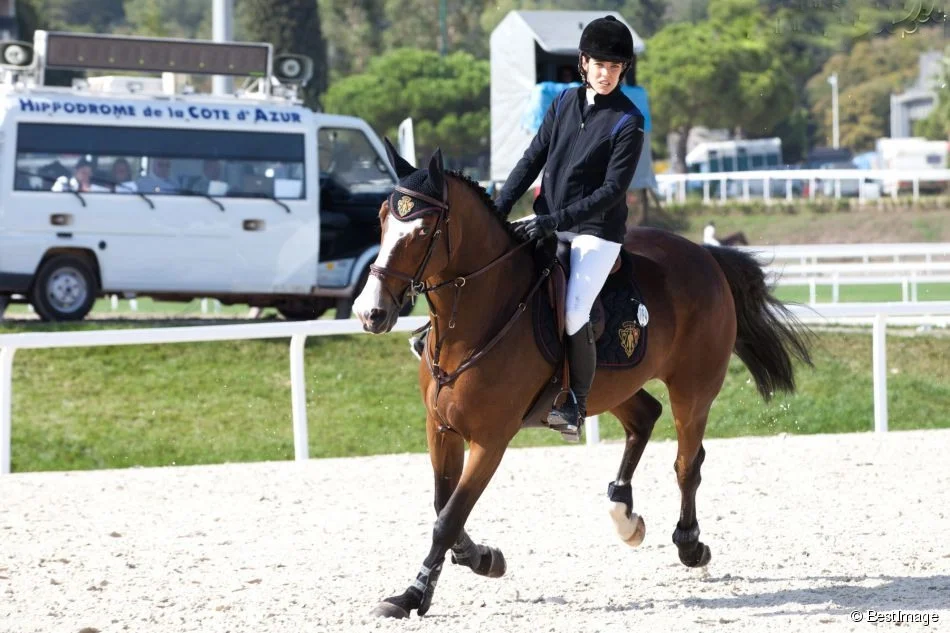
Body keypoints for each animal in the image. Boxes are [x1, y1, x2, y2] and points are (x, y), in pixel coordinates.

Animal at [354, 143, 816, 616]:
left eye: (422, 230)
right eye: (382, 219)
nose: (370, 313)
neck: (474, 321)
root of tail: (704, 255)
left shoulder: (490, 440)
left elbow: (448, 519)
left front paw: (414, 594)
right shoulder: (441, 428)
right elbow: (442, 507)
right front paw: (480, 559)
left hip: (693, 390)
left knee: (687, 462)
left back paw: (689, 545)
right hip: (607, 387)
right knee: (645, 417)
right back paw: (624, 514)